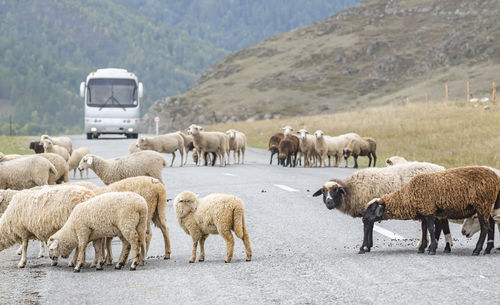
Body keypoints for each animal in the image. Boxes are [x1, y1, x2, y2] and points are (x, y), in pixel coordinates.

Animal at [312, 162, 446, 252]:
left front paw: (364, 247)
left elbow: (367, 226)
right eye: (323, 191)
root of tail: (441, 168)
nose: (329, 203)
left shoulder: (367, 208)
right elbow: (370, 226)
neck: (352, 189)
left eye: (335, 190)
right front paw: (369, 245)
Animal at [362, 165, 500, 255]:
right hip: (487, 206)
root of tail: (495, 178)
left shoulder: (428, 210)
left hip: (483, 204)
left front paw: (432, 249)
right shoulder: (424, 212)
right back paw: (486, 249)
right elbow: (424, 230)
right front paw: (422, 248)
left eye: (372, 208)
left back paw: (477, 250)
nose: (363, 219)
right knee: (490, 225)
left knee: (485, 227)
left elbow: (431, 229)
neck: (407, 196)